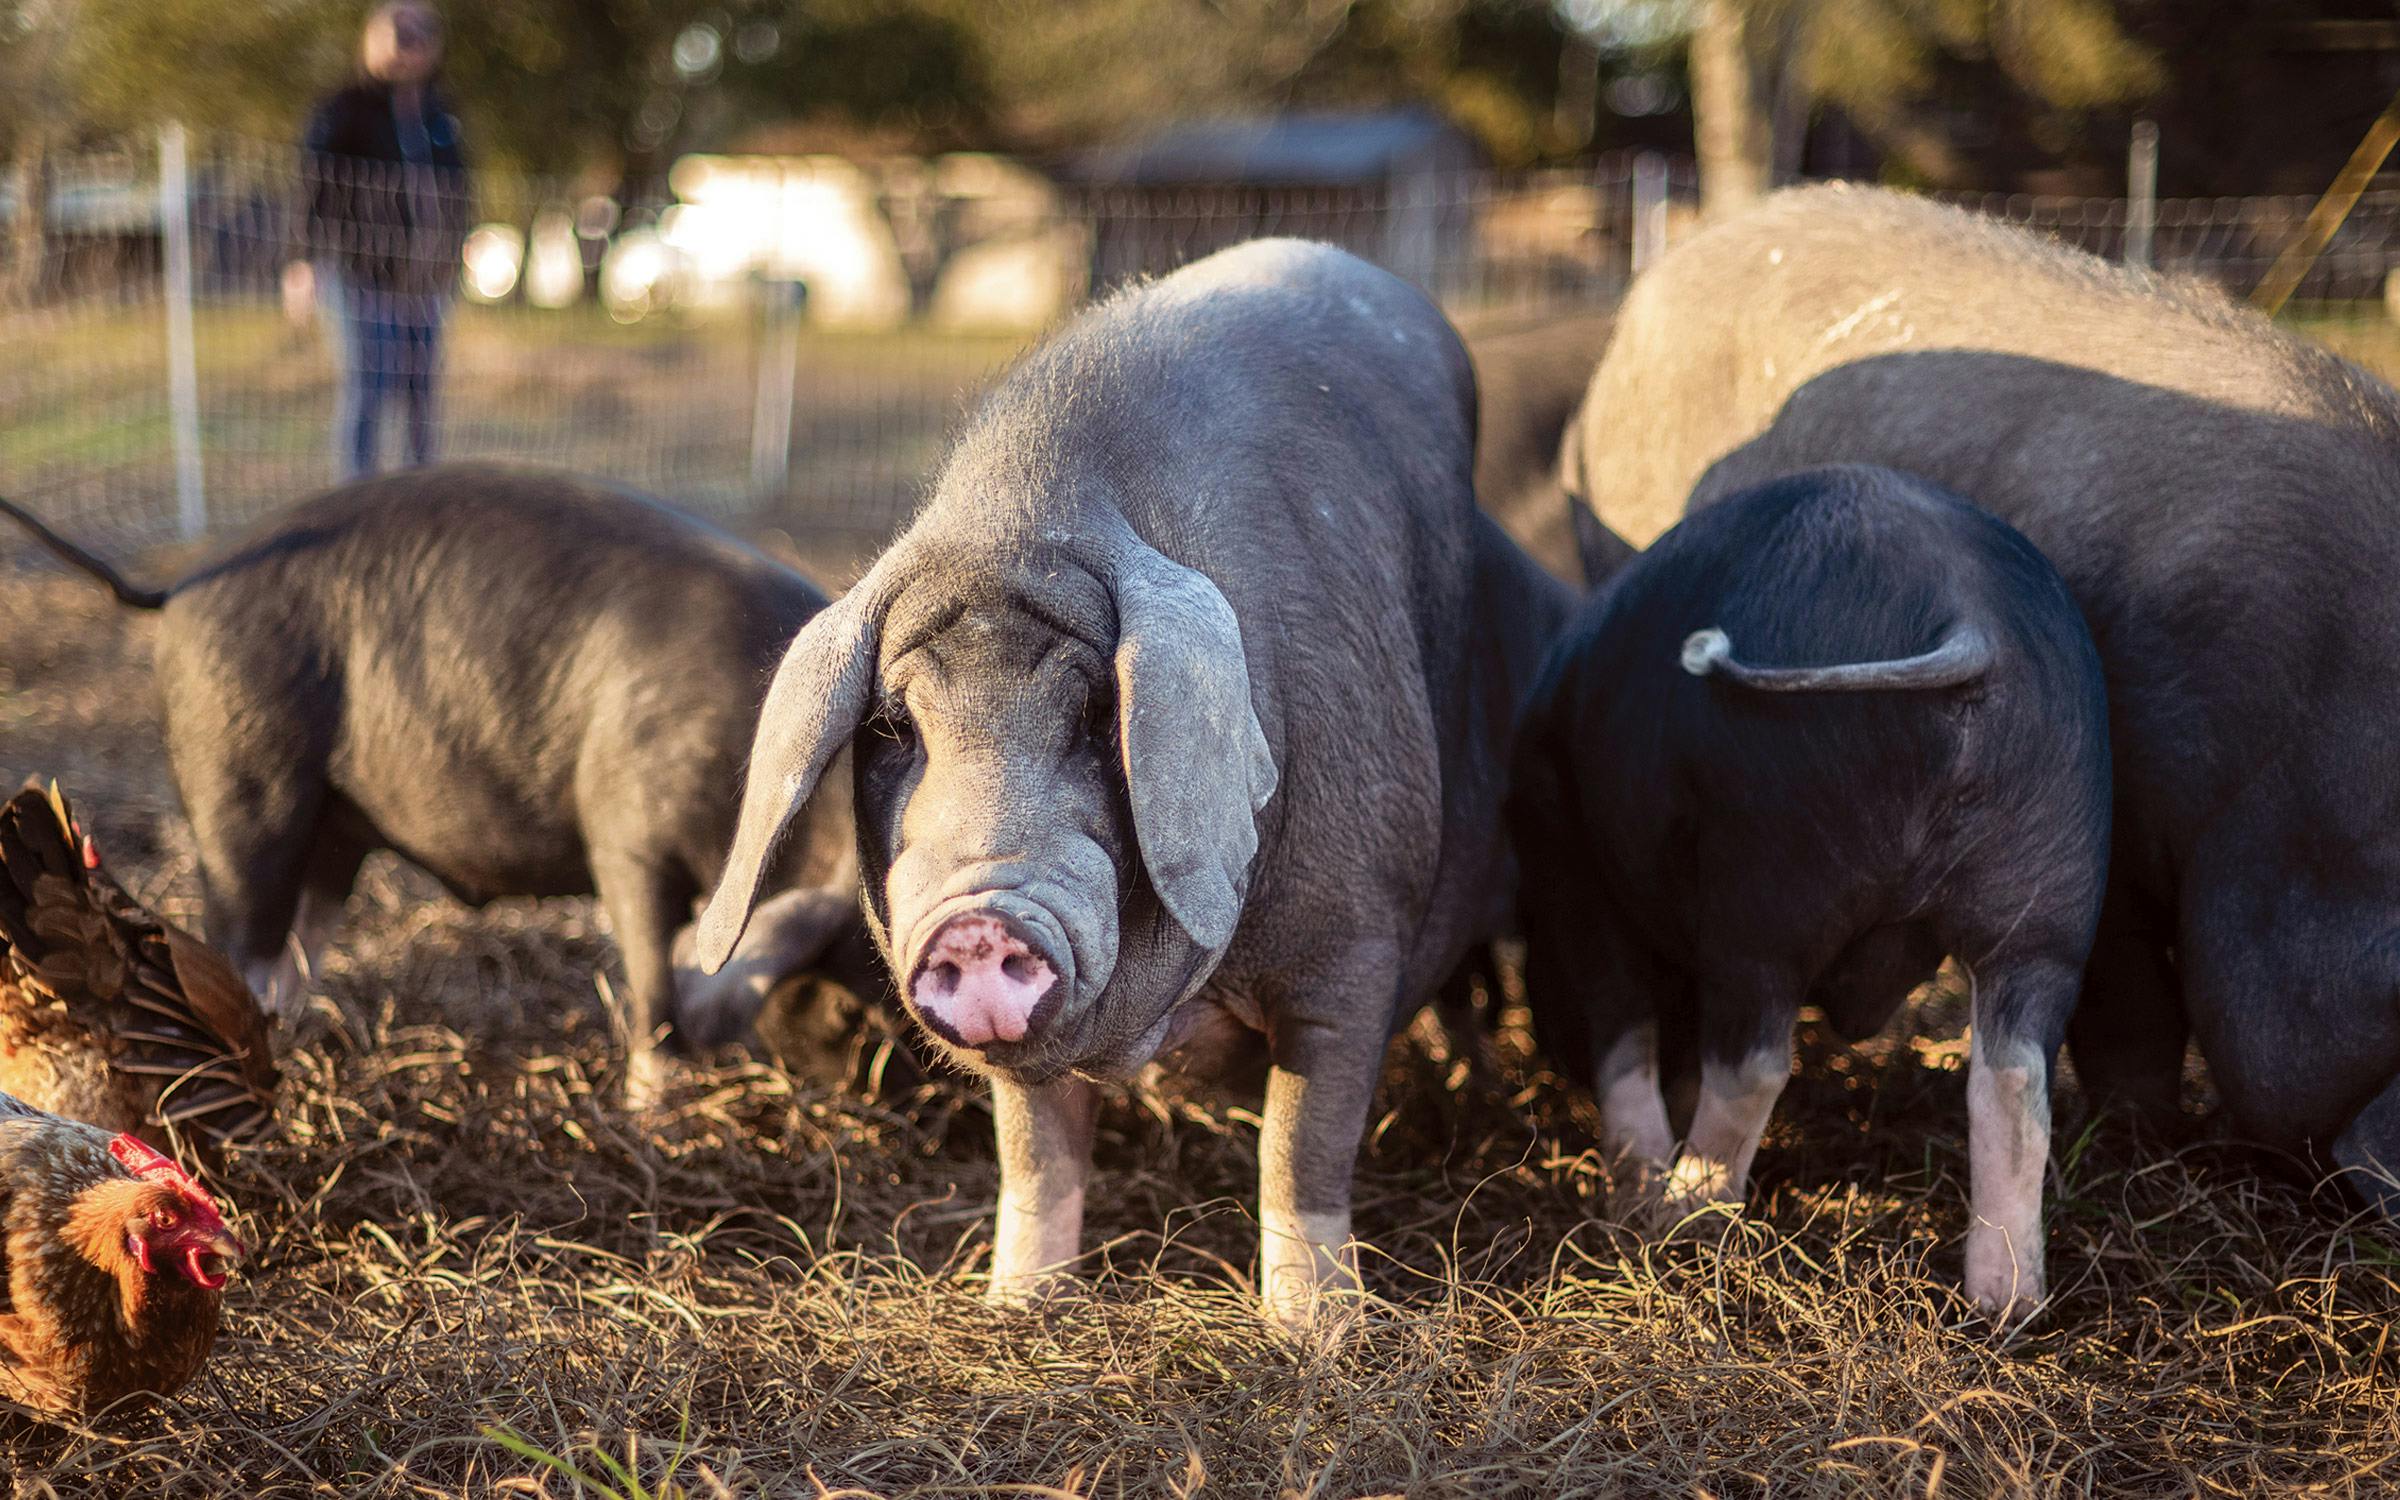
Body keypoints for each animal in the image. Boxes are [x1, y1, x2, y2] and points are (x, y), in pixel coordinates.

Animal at [0, 465, 874, 1102]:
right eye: (848, 1009)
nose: (869, 1096)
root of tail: (182, 585)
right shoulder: (627, 837)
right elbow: (655, 984)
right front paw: (652, 1108)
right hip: (240, 782)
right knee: (242, 938)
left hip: (336, 823)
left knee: (296, 945)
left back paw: (304, 1046)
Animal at [695, 238, 1552, 1331]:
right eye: (893, 728)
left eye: (1100, 717)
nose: (978, 920)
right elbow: (1035, 1154)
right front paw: (1017, 1310)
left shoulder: (1356, 941)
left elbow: (1303, 1148)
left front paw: (1316, 1336)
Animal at [1511, 463, 2110, 1313]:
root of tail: (1971, 622)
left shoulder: (1575, 867)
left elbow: (1622, 1024)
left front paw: (1634, 1191)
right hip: (2050, 890)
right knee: (2016, 1077)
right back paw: (2006, 1306)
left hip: (1769, 868)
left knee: (1754, 1060)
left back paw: (1678, 1218)